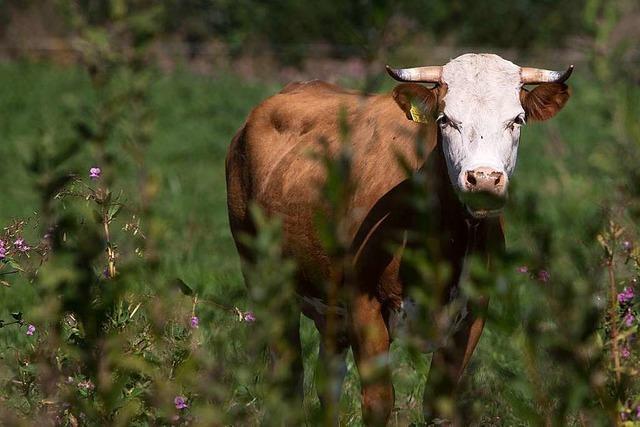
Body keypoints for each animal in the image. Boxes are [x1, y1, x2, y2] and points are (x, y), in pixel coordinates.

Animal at [224, 52, 568, 424]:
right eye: (446, 120)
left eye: (516, 120)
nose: (484, 179)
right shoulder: (365, 304)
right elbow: (378, 402)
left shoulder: (473, 315)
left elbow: (438, 404)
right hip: (266, 283)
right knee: (288, 377)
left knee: (327, 381)